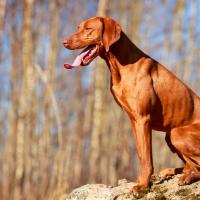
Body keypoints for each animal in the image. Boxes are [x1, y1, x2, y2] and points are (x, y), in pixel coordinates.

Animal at [63, 16, 200, 192]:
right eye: (78, 27)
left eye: (88, 29)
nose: (64, 42)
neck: (120, 65)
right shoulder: (134, 121)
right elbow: (141, 154)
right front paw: (143, 179)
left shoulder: (143, 119)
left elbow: (147, 158)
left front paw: (143, 185)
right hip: (170, 136)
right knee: (191, 165)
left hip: (176, 133)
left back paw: (187, 176)